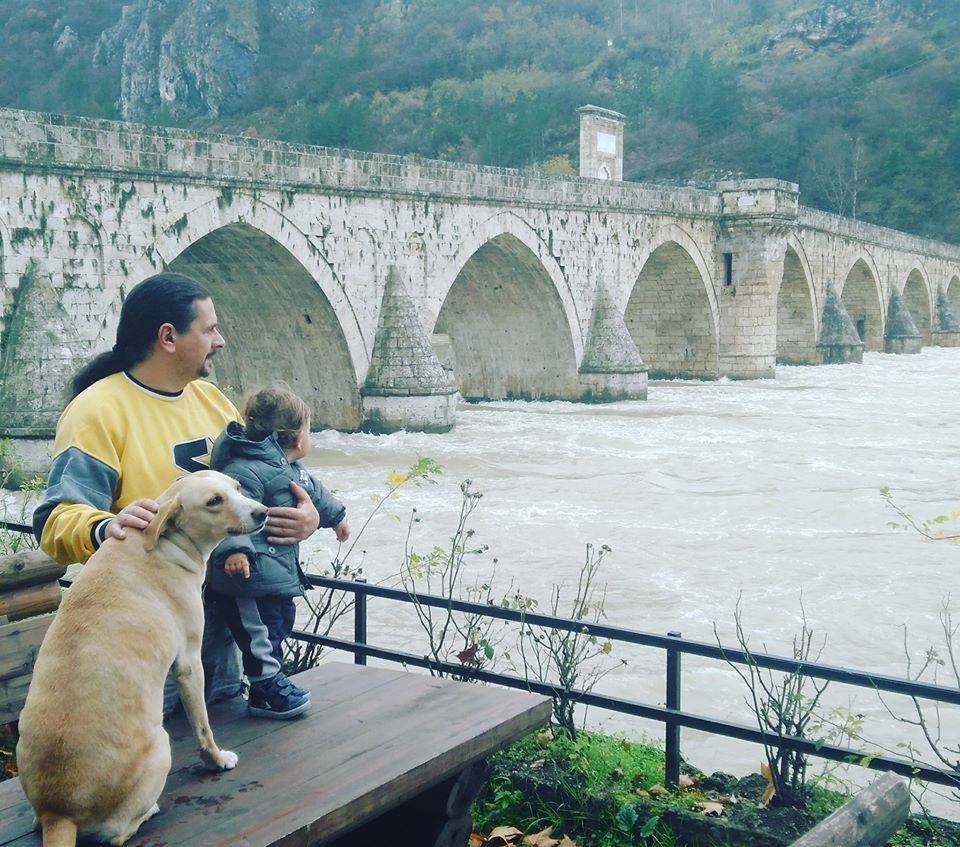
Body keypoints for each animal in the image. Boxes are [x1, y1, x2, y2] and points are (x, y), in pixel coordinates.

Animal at [15, 470, 270, 847]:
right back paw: (148, 810)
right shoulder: (189, 664)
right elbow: (203, 728)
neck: (162, 541)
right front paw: (217, 760)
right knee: (118, 835)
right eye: (213, 501)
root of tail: (58, 815)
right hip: (161, 745)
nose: (263, 512)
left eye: (237, 488)